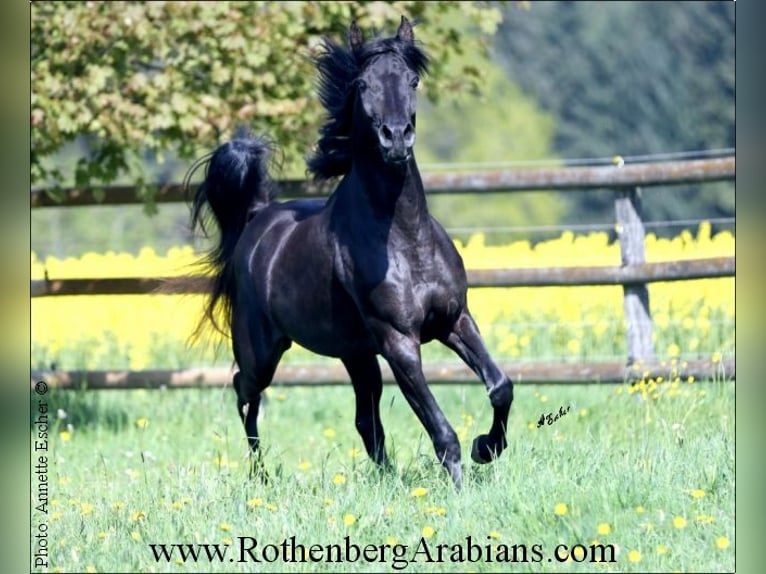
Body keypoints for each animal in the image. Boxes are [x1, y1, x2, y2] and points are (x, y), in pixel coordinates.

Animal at [184, 15, 516, 488]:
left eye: (413, 80)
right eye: (361, 84)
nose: (396, 139)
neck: (404, 238)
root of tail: (259, 216)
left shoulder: (454, 320)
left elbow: (500, 386)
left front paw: (486, 448)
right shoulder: (398, 342)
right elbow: (440, 429)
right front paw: (461, 482)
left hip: (356, 354)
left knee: (365, 421)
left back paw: (384, 475)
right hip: (263, 352)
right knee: (244, 393)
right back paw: (261, 475)